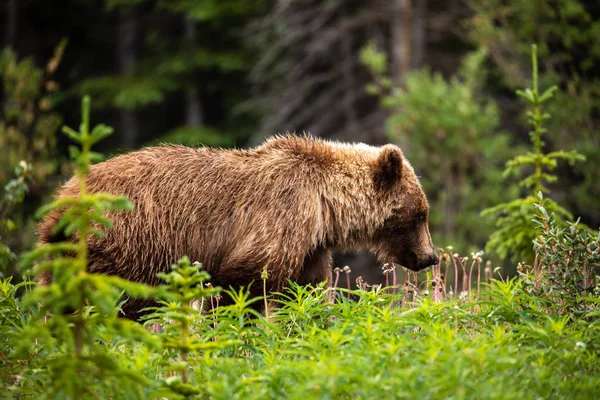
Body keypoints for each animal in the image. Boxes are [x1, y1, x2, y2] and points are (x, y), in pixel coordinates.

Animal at [38, 135, 440, 318]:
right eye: (421, 213)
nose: (431, 257)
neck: (325, 206)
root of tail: (63, 199)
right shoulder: (280, 215)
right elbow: (242, 284)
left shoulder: (310, 247)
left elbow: (307, 290)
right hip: (128, 244)